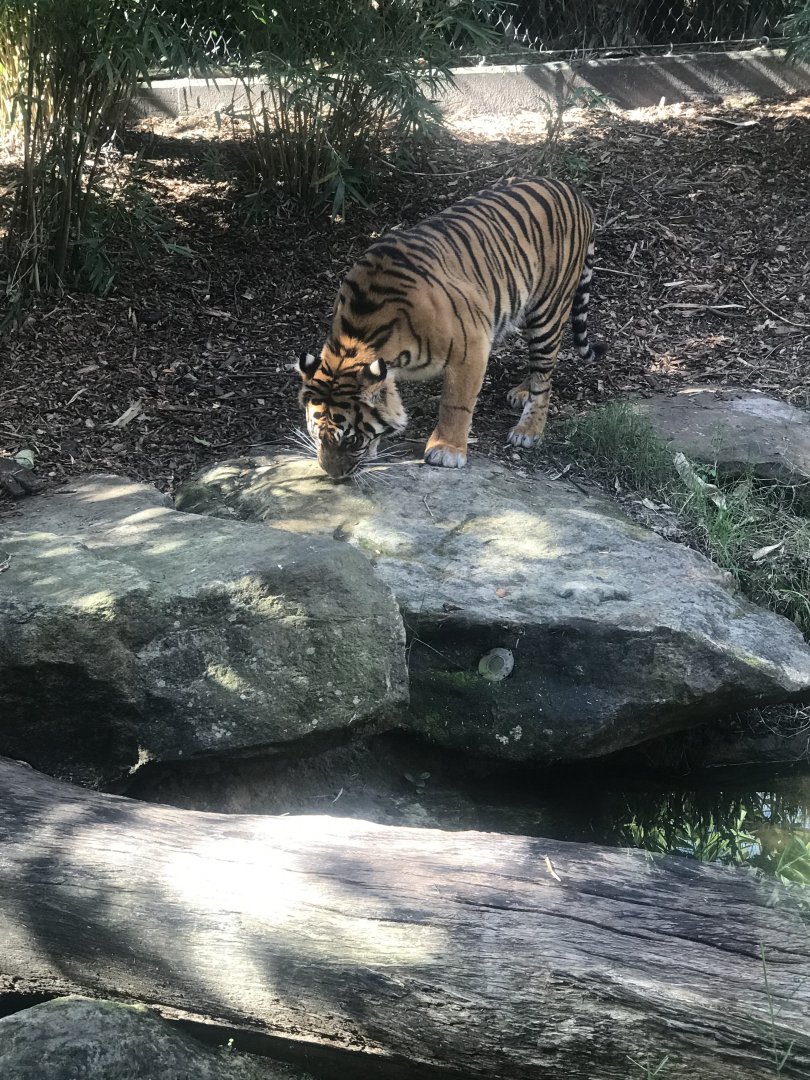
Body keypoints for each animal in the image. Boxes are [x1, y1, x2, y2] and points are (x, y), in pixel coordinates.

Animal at [299, 176, 604, 480]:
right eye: (316, 436)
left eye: (351, 440)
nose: (333, 475)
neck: (360, 335)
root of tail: (572, 190)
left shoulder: (471, 348)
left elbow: (456, 404)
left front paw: (446, 450)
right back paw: (521, 392)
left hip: (548, 310)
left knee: (544, 377)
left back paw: (528, 430)